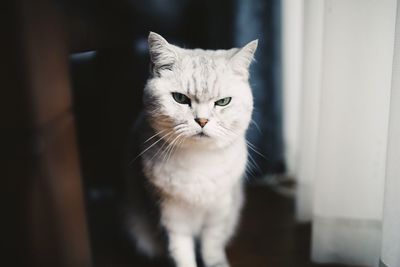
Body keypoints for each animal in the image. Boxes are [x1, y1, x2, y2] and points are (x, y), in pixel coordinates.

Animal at [123, 31, 258, 267]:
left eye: (223, 102)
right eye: (180, 98)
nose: (202, 120)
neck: (199, 163)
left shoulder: (218, 215)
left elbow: (212, 249)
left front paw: (217, 262)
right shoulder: (172, 219)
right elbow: (182, 255)